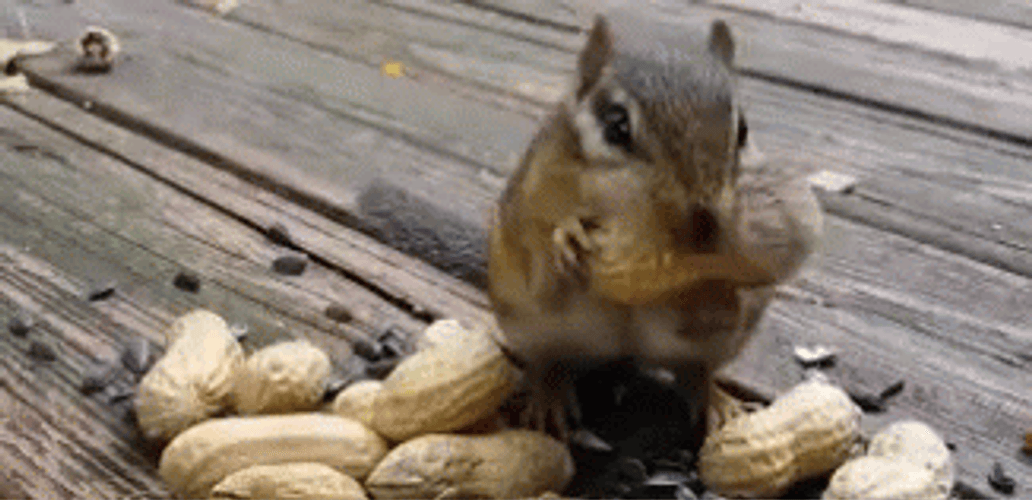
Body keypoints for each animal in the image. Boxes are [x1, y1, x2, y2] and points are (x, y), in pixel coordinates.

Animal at [487, 10, 823, 444]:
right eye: (616, 126)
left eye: (744, 130)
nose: (703, 224)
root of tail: (625, 355)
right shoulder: (530, 196)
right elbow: (537, 246)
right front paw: (566, 236)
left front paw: (714, 290)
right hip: (531, 326)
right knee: (550, 362)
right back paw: (548, 396)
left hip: (714, 346)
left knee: (695, 370)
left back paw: (716, 398)